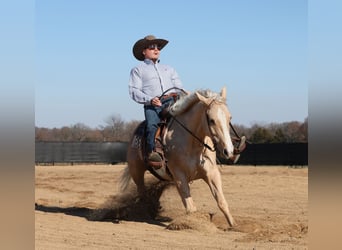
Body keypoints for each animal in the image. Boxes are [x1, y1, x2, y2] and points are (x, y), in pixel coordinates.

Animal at [121, 87, 236, 228]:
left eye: (229, 118)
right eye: (212, 120)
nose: (229, 151)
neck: (192, 143)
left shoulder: (212, 173)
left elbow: (222, 202)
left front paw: (234, 226)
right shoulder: (179, 175)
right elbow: (191, 207)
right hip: (136, 172)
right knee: (142, 194)